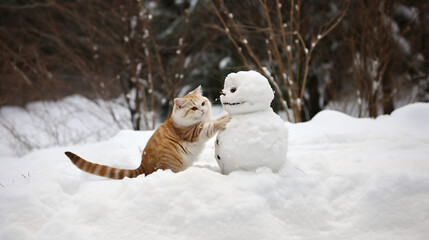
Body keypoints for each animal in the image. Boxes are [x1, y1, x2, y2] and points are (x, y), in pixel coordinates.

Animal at [64, 86, 229, 178]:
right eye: (194, 108)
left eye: (203, 103)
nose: (202, 110)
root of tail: (142, 167)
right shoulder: (194, 132)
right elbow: (210, 126)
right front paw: (224, 121)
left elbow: (213, 119)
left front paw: (224, 115)